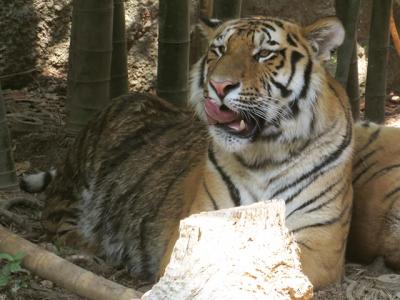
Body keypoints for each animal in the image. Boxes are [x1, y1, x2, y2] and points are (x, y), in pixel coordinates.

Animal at [19, 14, 400, 290]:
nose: (218, 86)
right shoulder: (196, 228)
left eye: (264, 54)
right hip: (79, 181)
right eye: (219, 51)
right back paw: (95, 252)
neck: (266, 153)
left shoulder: (319, 241)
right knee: (58, 224)